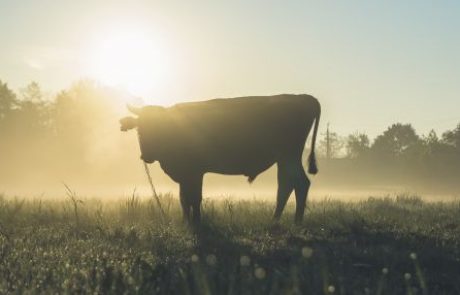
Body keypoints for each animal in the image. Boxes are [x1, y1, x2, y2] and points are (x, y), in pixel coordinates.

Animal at [120, 95, 322, 227]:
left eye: (159, 126)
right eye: (139, 129)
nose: (146, 156)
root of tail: (303, 97)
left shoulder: (195, 172)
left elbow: (194, 197)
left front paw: (197, 222)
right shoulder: (186, 175)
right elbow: (183, 198)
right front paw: (186, 222)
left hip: (288, 156)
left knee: (297, 183)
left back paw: (293, 221)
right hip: (285, 159)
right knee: (288, 184)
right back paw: (279, 219)